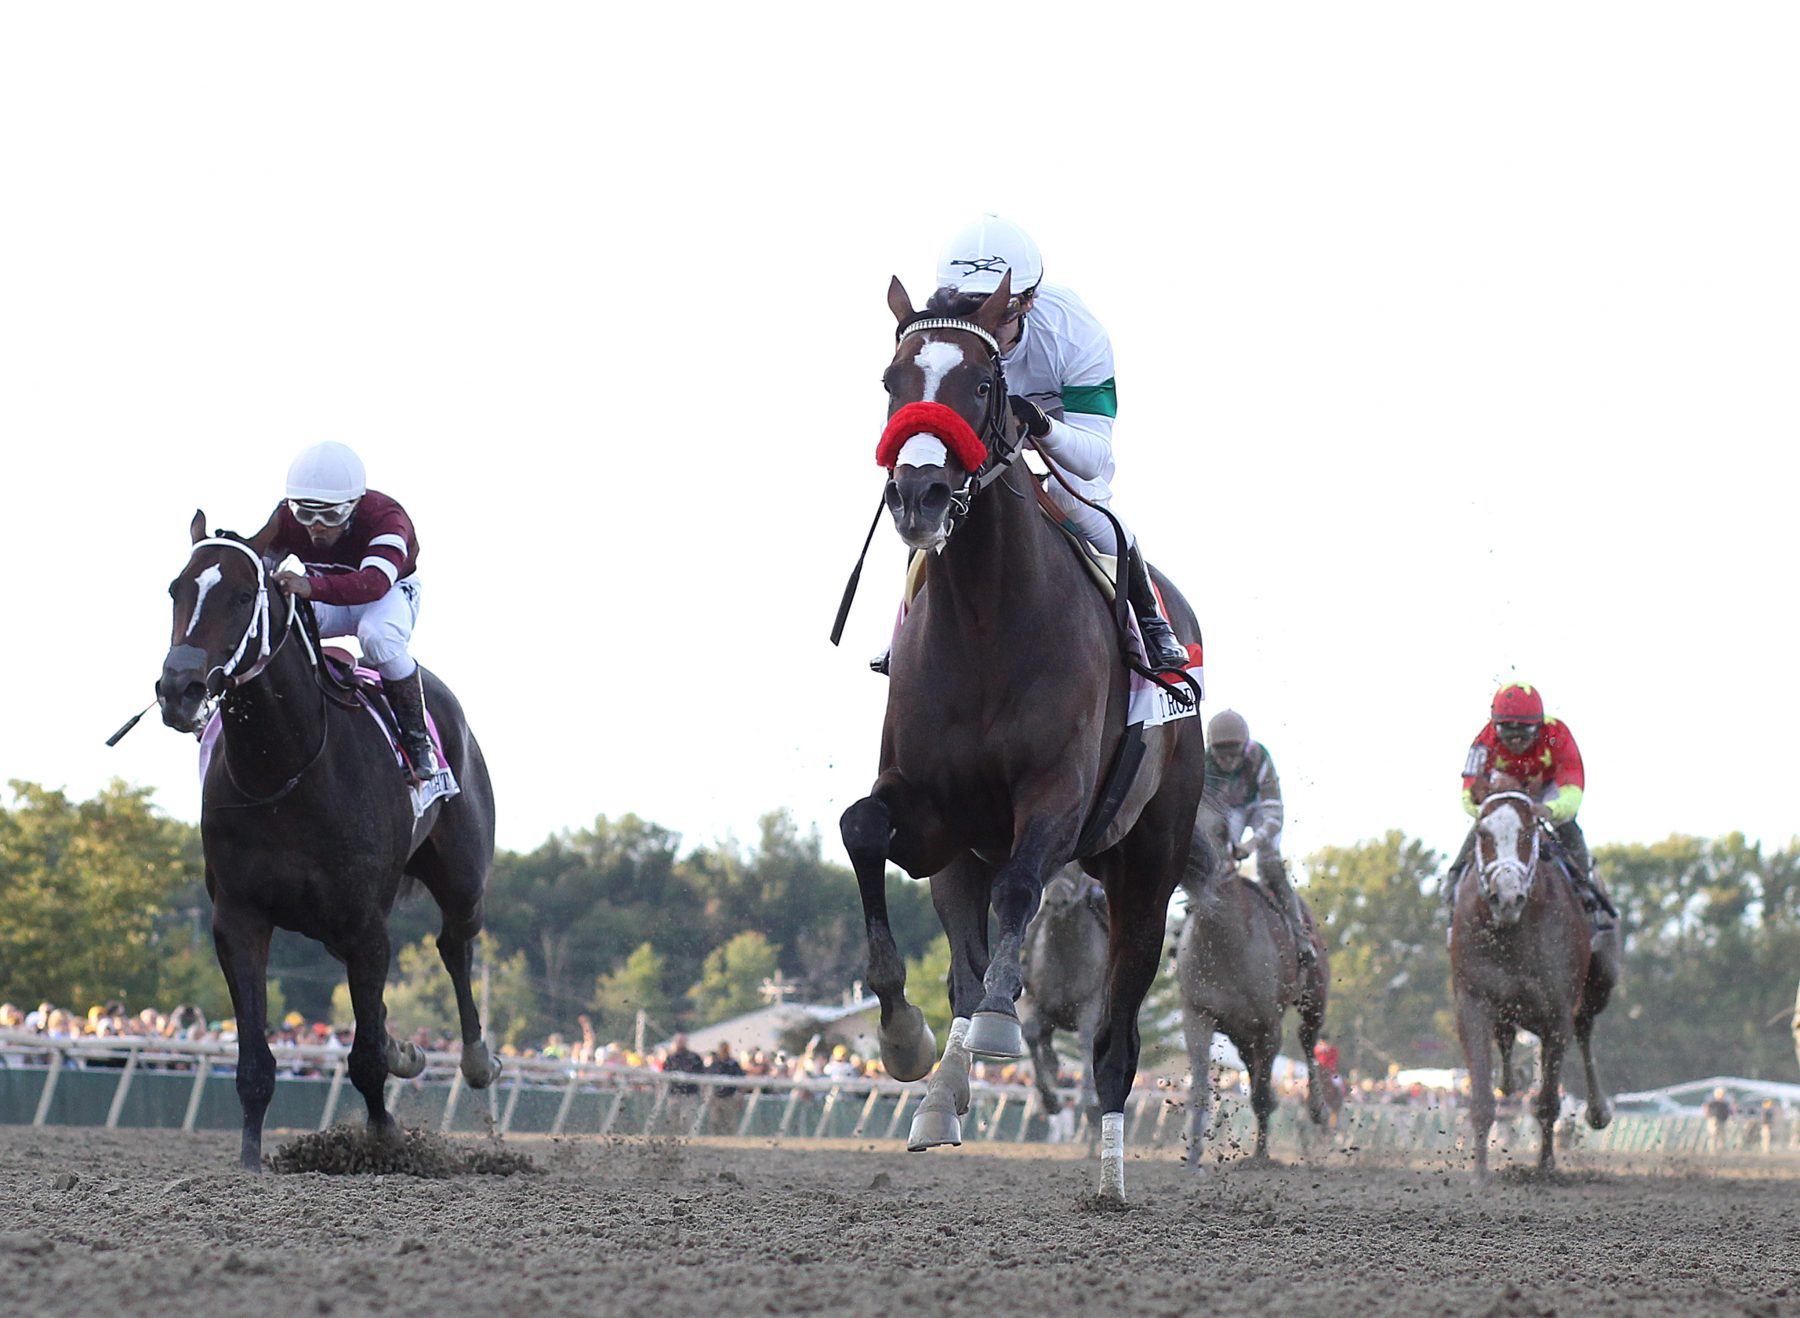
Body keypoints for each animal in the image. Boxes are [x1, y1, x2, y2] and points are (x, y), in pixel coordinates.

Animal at [159, 511, 500, 1166]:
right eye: (175, 591)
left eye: (242, 596)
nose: (177, 690)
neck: (287, 768)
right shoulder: (239, 916)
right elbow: (255, 1062)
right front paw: (249, 1160)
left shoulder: (367, 921)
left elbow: (364, 1057)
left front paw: (384, 1138)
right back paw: (404, 1048)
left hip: (464, 878)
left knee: (454, 944)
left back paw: (475, 1059)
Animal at [1029, 864, 1108, 1123]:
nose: (1056, 899)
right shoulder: (1032, 1000)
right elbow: (1030, 1034)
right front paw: (1050, 1100)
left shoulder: (1090, 1002)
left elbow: (1086, 1041)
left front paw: (1090, 1101)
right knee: (1044, 1040)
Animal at [1173, 803, 1332, 1166]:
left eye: (1220, 830)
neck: (1226, 945)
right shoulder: (1198, 1014)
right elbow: (1201, 1089)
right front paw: (1194, 1156)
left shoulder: (1270, 1026)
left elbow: (1260, 1094)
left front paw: (1260, 1157)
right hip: (1240, 1035)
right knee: (1253, 1062)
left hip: (1313, 999)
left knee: (1308, 1039)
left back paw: (1317, 1110)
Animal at [1447, 770, 1620, 1181]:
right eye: (1483, 832)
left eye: (1528, 832)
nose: (1506, 896)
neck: (1512, 932)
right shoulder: (1472, 1002)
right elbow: (1481, 1099)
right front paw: (1480, 1174)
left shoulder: (1556, 1011)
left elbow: (1546, 1103)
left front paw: (1544, 1168)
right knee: (1507, 1038)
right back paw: (1509, 1082)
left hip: (1600, 980)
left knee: (1585, 1029)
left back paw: (1598, 1111)